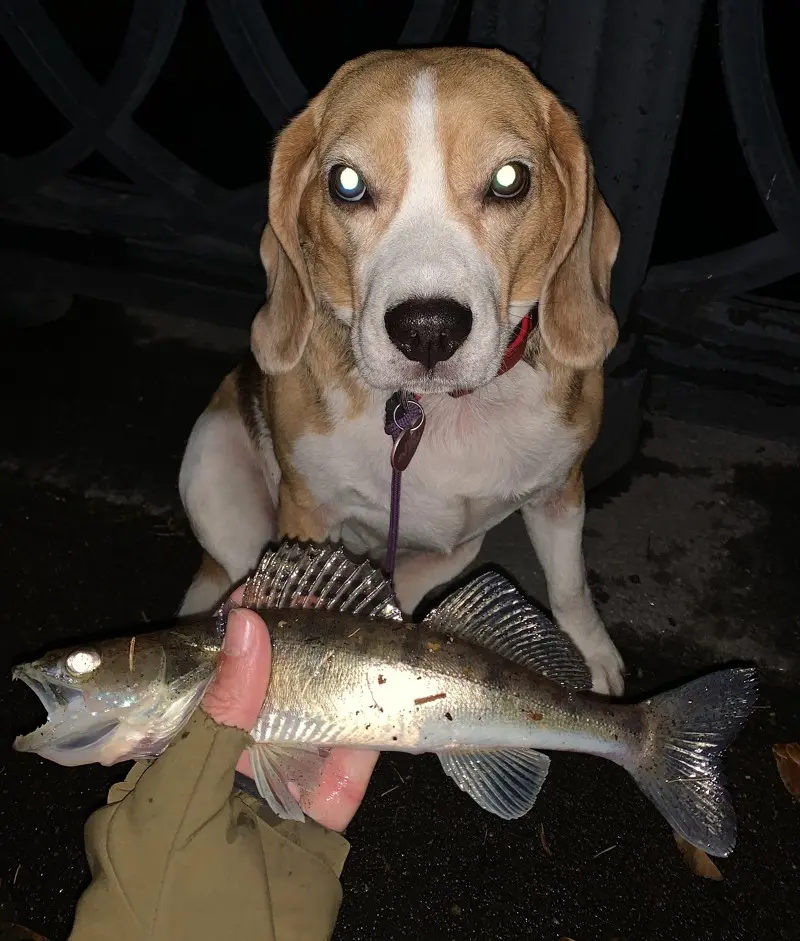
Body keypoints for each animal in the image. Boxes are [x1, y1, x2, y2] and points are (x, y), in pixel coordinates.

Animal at [178, 47, 628, 692]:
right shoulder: (305, 514)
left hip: (455, 554)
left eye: (510, 180)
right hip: (209, 469)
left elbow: (569, 588)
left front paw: (589, 653)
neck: (434, 408)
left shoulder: (561, 492)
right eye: (346, 183)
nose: (428, 329)